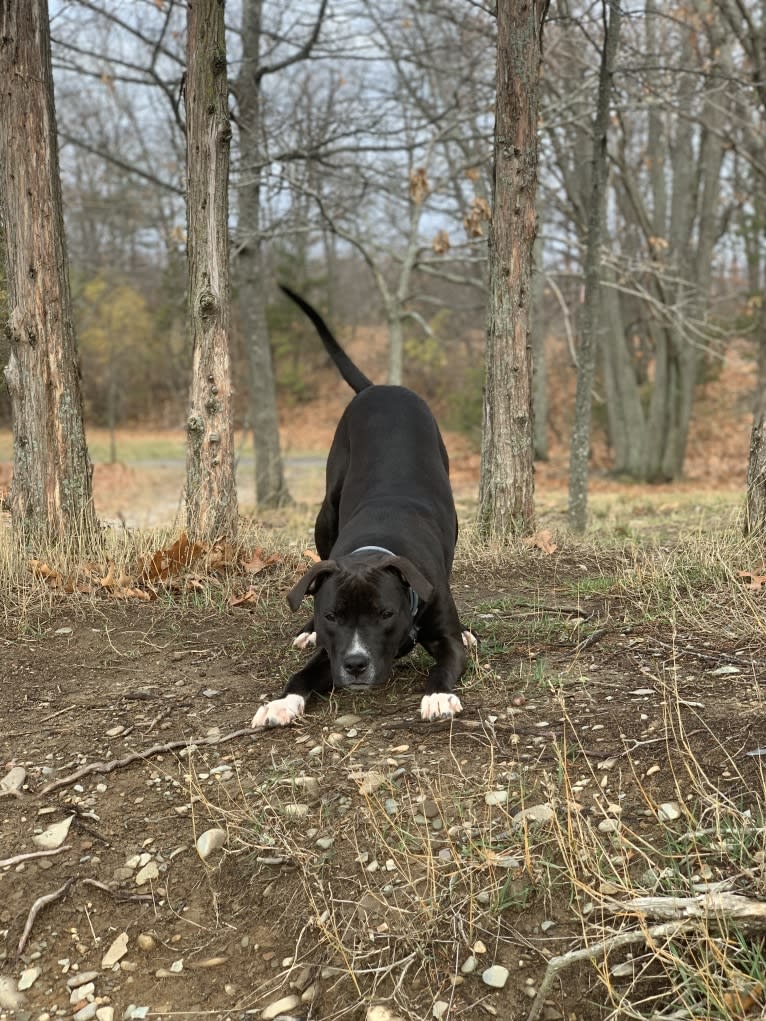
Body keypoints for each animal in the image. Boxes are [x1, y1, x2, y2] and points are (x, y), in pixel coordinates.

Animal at [252, 287, 471, 731]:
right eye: (332, 617)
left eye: (385, 613)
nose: (355, 664)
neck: (375, 547)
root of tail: (379, 386)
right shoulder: (329, 652)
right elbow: (302, 673)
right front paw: (281, 702)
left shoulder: (447, 638)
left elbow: (445, 662)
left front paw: (438, 695)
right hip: (324, 515)